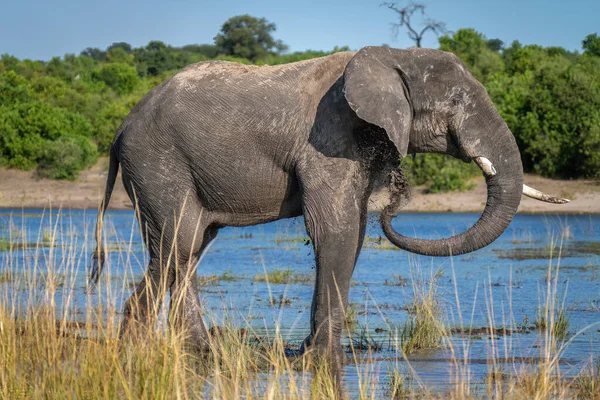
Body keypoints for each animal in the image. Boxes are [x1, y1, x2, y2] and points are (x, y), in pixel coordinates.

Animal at [90, 47, 568, 372]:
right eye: (454, 104)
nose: (398, 197)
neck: (390, 56)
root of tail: (120, 128)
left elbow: (352, 232)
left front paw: (308, 354)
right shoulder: (330, 137)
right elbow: (333, 230)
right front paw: (323, 361)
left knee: (189, 249)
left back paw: (191, 352)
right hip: (158, 165)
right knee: (180, 244)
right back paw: (140, 349)